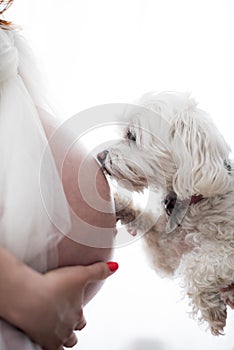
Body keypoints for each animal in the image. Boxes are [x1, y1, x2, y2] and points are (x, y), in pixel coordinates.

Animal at [97, 92, 234, 336]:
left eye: (132, 136)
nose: (99, 155)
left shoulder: (227, 249)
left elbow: (194, 267)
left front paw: (212, 312)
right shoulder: (166, 252)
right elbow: (150, 226)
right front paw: (118, 204)